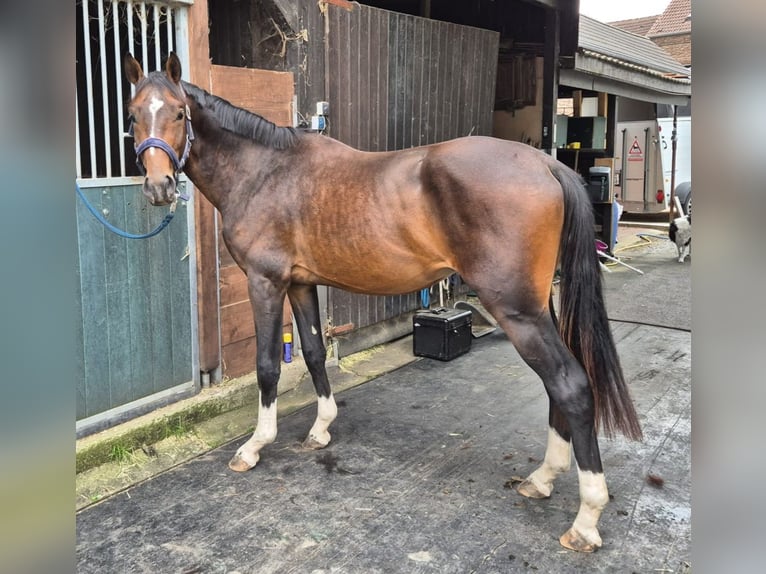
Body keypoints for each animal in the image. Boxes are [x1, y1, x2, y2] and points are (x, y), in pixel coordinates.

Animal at [124, 52, 642, 553]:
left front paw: (254, 446)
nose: (159, 187)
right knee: (559, 386)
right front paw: (321, 428)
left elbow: (268, 366)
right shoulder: (300, 284)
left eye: (178, 112)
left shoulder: (265, 282)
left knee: (570, 385)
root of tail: (547, 165)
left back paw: (586, 519)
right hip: (537, 307)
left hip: (516, 310)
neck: (266, 171)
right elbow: (314, 352)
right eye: (133, 114)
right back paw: (542, 479)